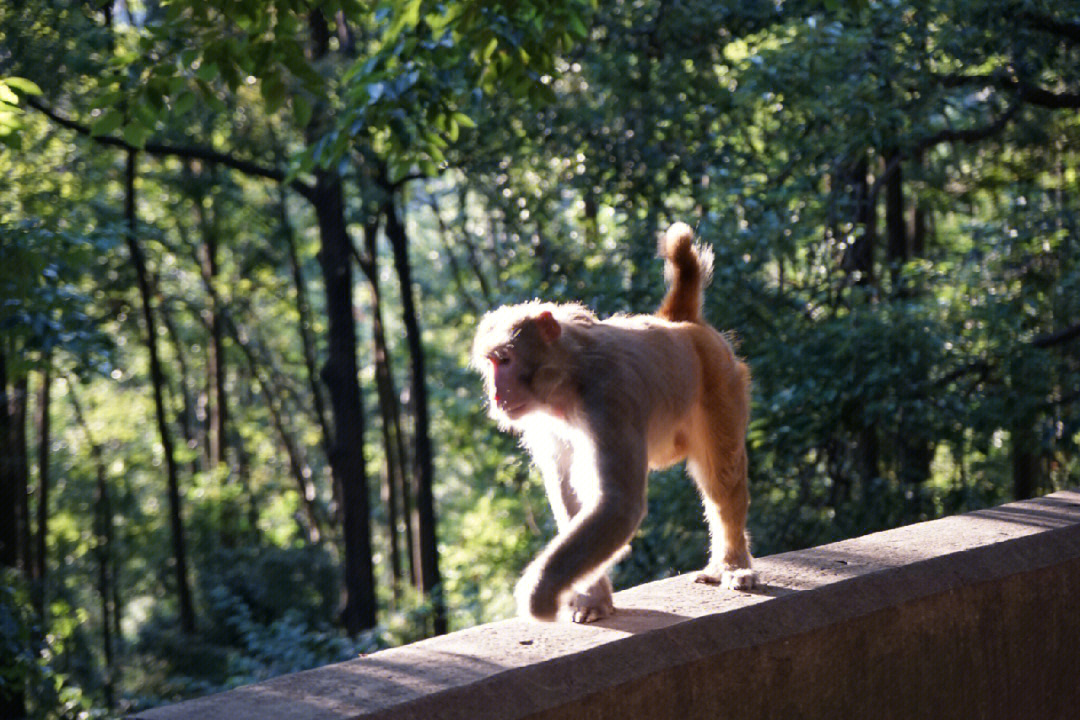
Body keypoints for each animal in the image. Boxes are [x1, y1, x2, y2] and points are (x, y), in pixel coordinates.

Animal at [468, 222, 756, 621]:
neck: (568, 379)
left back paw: (733, 563)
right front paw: (592, 597)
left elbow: (618, 504)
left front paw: (540, 593)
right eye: (490, 363)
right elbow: (573, 497)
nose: (496, 394)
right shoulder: (548, 426)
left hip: (722, 383)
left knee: (722, 478)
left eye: (506, 360)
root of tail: (680, 323)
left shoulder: (609, 399)